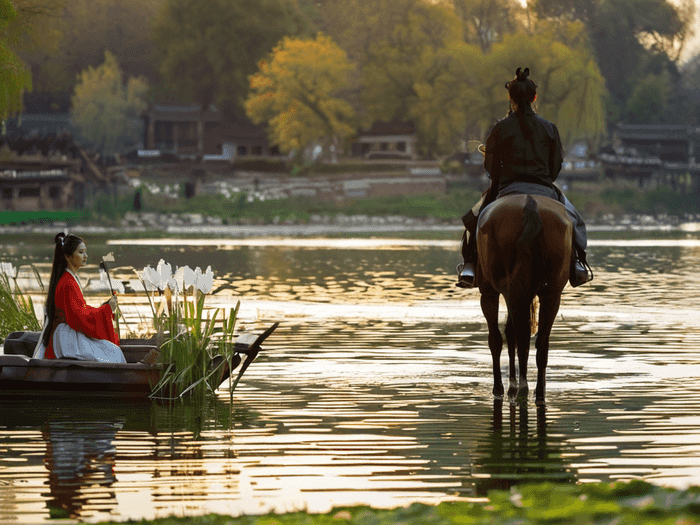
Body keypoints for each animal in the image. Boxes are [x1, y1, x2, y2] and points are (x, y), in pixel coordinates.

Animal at [476, 194, 576, 404]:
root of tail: (530, 203)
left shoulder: (489, 292)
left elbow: (498, 339)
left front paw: (503, 386)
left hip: (501, 289)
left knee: (512, 336)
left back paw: (517, 387)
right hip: (552, 293)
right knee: (540, 341)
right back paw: (537, 390)